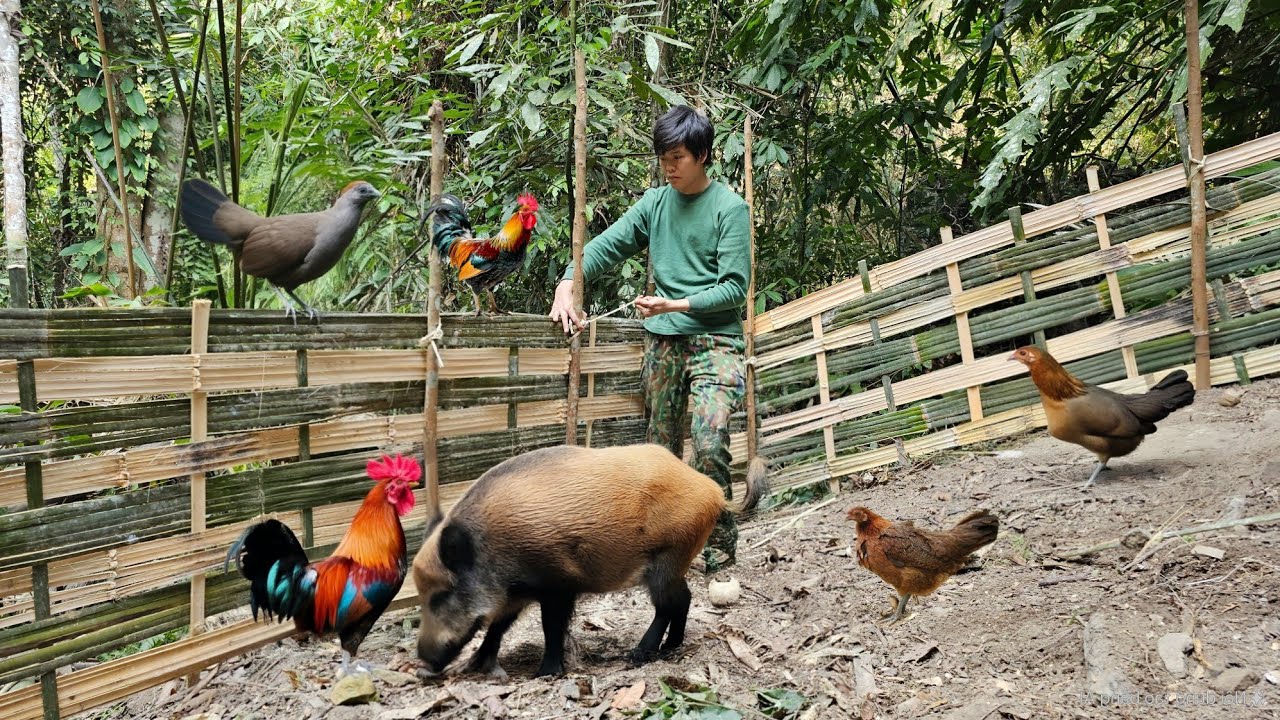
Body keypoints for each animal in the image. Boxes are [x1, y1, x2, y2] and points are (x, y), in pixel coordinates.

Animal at [412, 443, 767, 678]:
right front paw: (475, 666)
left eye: (441, 594)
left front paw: (545, 674)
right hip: (673, 563)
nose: (423, 664)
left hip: (667, 559)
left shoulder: (558, 585)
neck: (493, 548)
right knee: (684, 599)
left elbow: (550, 627)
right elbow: (498, 626)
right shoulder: (517, 593)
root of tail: (713, 492)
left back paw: (639, 655)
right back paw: (669, 647)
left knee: (669, 604)